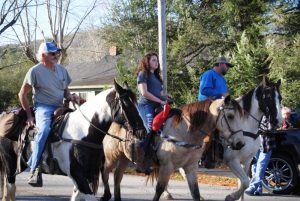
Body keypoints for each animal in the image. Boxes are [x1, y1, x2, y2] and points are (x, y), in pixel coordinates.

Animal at [0, 80, 146, 201]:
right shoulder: (78, 175)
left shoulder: (86, 175)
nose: (142, 131)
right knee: (10, 189)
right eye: (126, 103)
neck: (84, 133)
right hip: (10, 164)